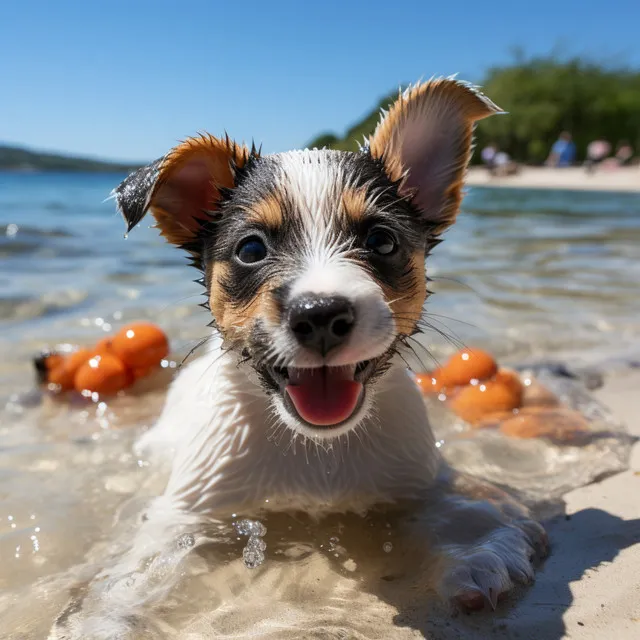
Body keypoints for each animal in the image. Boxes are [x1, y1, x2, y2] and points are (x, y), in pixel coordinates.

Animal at [53, 77, 552, 636]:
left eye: (381, 241)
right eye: (251, 250)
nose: (320, 314)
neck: (318, 451)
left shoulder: (422, 480)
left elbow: (459, 509)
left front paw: (478, 555)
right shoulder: (186, 511)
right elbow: (140, 571)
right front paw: (104, 620)